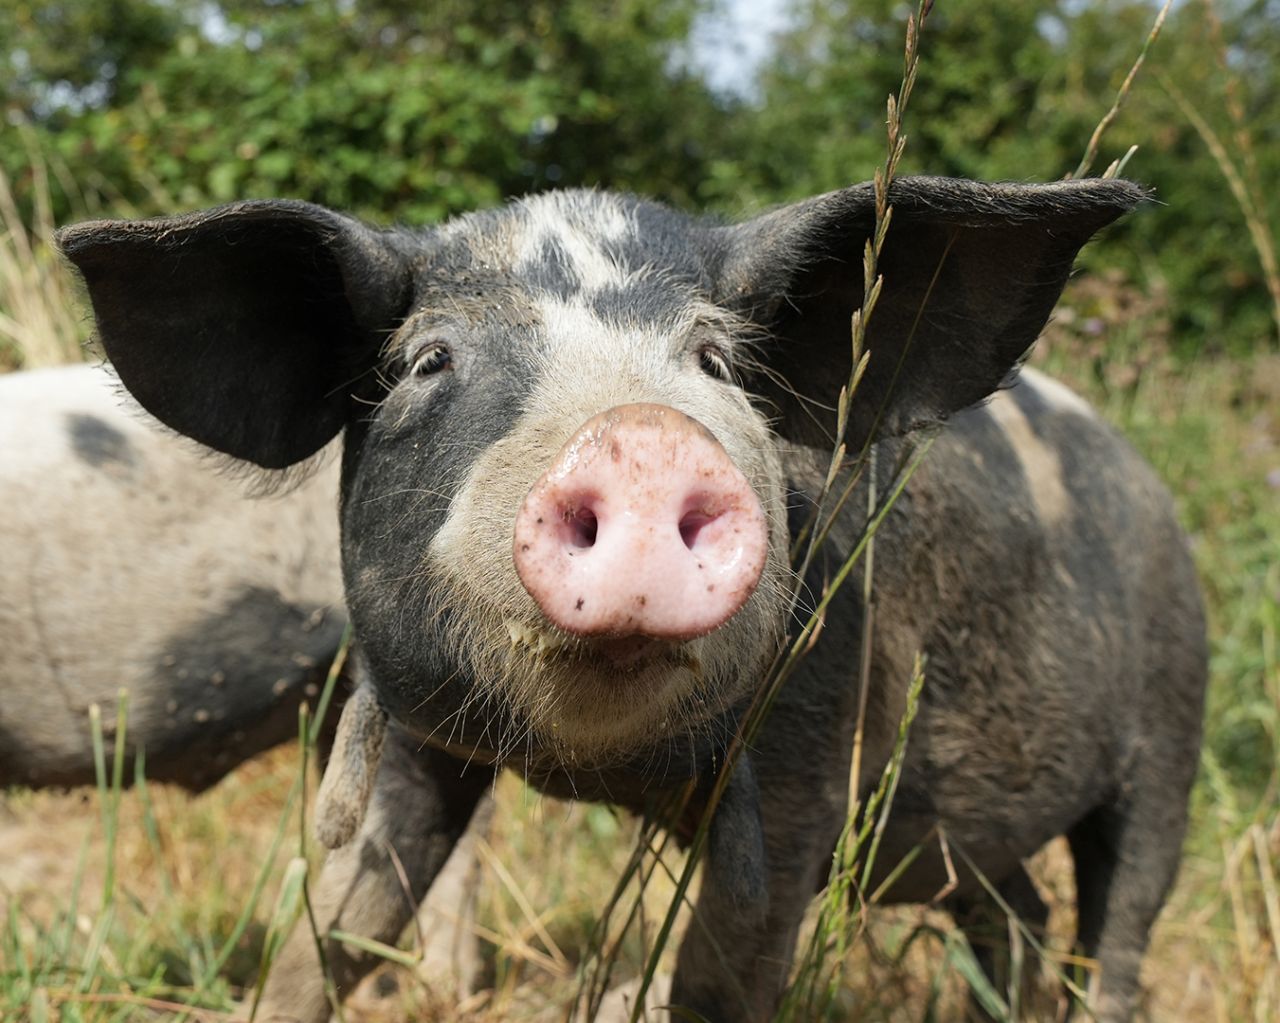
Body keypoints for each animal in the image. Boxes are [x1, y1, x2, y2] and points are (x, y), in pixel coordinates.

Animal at [55, 177, 1203, 1023]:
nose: (642, 435)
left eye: (715, 361)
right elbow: (334, 928)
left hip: (1167, 736)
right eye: (429, 360)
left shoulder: (811, 746)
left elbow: (718, 975)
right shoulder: (419, 739)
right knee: (1016, 913)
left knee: (1120, 922)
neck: (599, 772)